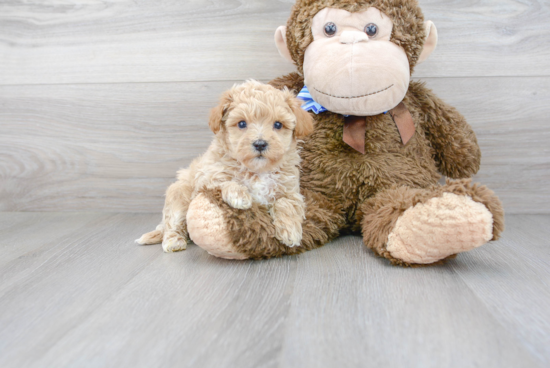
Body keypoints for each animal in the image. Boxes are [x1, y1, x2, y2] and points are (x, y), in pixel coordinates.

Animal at [137, 80, 314, 253]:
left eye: (278, 125)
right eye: (242, 124)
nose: (260, 144)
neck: (257, 171)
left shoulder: (291, 189)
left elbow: (287, 203)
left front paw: (291, 232)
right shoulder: (207, 180)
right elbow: (225, 182)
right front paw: (240, 195)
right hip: (179, 195)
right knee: (172, 223)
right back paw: (174, 241)